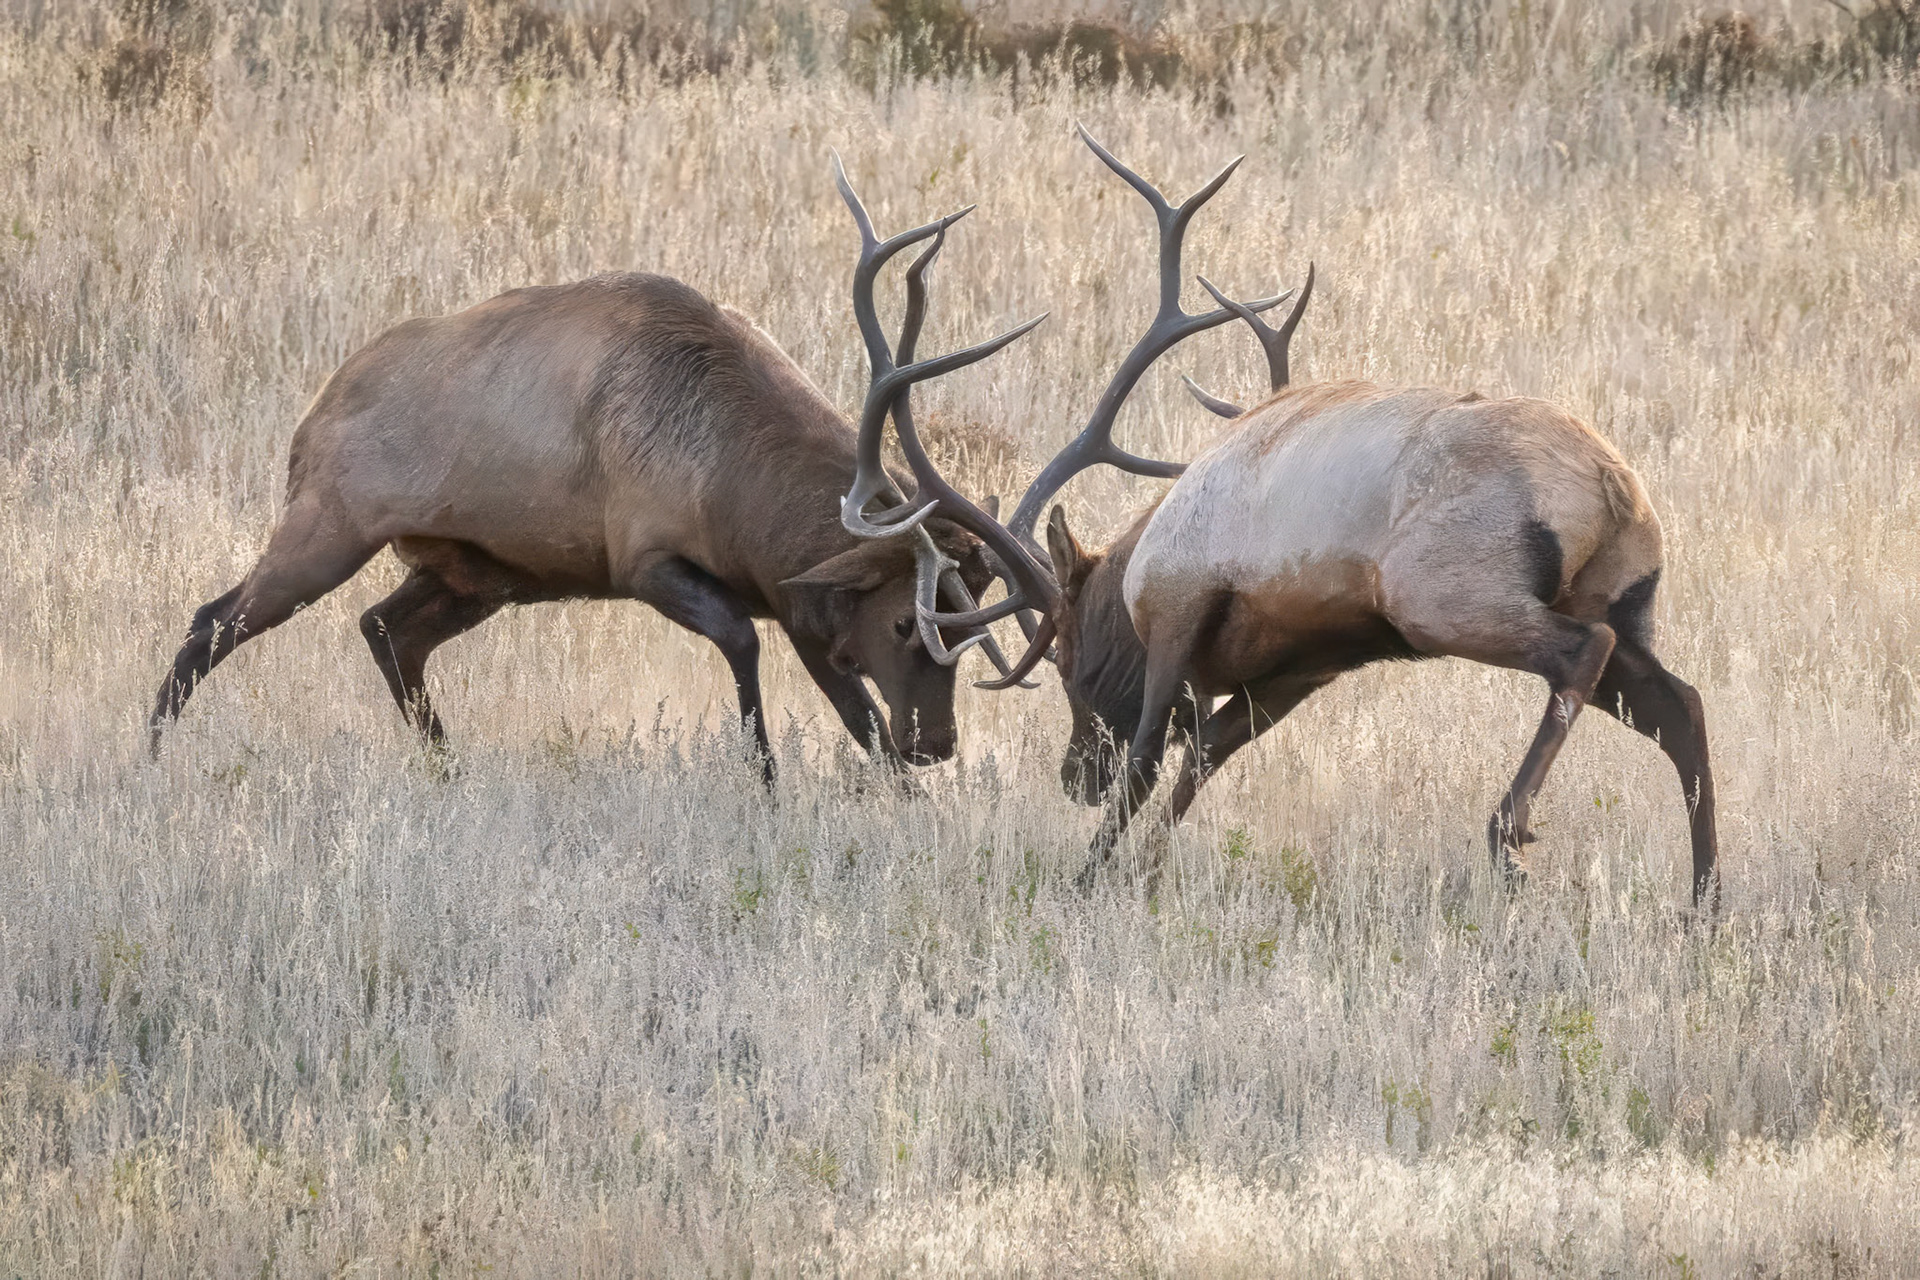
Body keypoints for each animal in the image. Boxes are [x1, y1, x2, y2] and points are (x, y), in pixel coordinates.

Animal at [148, 163, 1049, 779]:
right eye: (906, 623)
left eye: (975, 636)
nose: (937, 744)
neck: (742, 502)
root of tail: (312, 416)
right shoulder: (644, 558)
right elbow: (741, 645)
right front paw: (764, 782)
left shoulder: (802, 612)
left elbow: (857, 719)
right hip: (328, 523)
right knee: (212, 619)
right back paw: (150, 756)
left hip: (479, 572)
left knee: (383, 629)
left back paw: (448, 769)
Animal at [844, 125, 1720, 906]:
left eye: (1063, 658)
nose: (1073, 777)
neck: (1138, 564)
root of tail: (1611, 487)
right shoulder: (1304, 666)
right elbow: (1204, 758)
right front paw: (1146, 873)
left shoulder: (1180, 606)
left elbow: (1151, 756)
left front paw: (1088, 878)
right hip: (1624, 599)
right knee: (1681, 703)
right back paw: (1704, 899)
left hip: (1447, 596)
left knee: (1584, 654)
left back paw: (1510, 839)